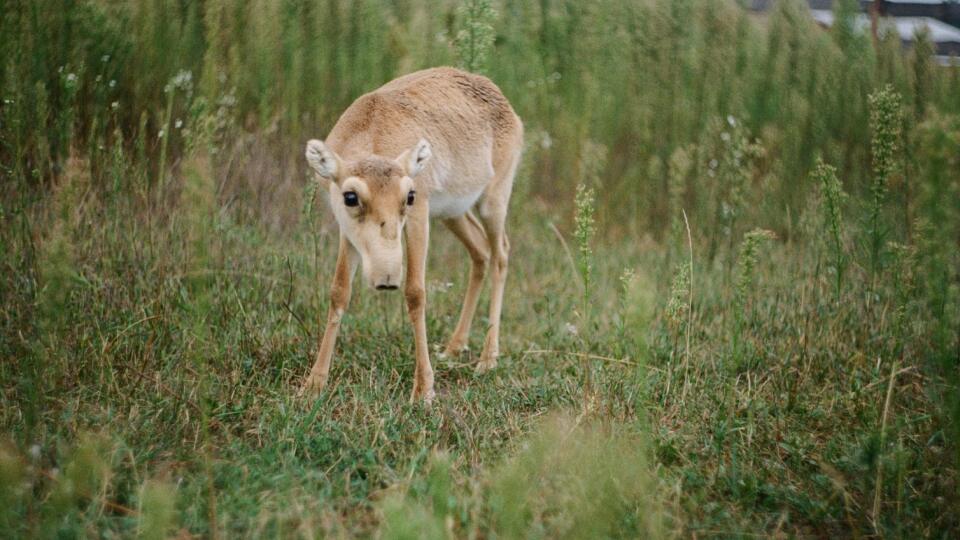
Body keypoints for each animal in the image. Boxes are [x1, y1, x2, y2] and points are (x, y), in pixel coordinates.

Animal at [300, 67, 524, 402]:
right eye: (350, 197)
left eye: (409, 196)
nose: (386, 278)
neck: (372, 131)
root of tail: (499, 95)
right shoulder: (347, 231)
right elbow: (339, 291)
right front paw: (314, 383)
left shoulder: (419, 217)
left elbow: (416, 292)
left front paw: (423, 389)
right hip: (453, 213)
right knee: (480, 253)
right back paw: (453, 347)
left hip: (493, 201)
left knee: (501, 254)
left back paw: (487, 359)